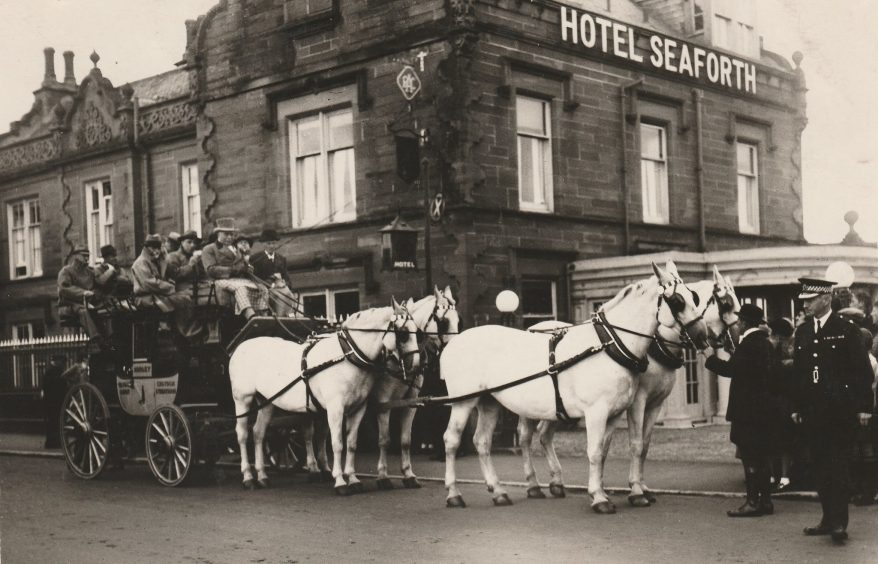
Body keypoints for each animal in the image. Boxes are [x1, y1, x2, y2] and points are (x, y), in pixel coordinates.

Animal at [227, 300, 420, 494]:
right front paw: (340, 481)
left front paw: (353, 479)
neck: (347, 355)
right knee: (242, 435)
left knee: (258, 433)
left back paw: (262, 476)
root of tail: (240, 348)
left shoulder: (358, 408)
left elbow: (351, 443)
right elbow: (337, 444)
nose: (417, 366)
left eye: (417, 331)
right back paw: (248, 477)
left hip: (266, 402)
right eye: (403, 334)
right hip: (242, 399)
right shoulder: (335, 409)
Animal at [440, 262, 708, 512]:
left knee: (483, 442)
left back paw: (499, 492)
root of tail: (454, 341)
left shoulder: (614, 414)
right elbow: (597, 451)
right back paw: (454, 494)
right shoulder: (598, 411)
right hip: (465, 401)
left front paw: (609, 491)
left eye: (694, 296)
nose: (703, 336)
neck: (609, 345)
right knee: (452, 440)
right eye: (677, 301)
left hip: (489, 402)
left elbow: (605, 451)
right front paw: (600, 497)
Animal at [524, 266, 744, 504]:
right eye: (726, 304)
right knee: (526, 438)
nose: (735, 341)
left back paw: (556, 482)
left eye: (693, 298)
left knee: (544, 435)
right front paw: (635, 490)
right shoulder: (637, 401)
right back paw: (534, 485)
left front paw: (637, 486)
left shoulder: (654, 403)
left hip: (554, 406)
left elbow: (642, 445)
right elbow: (635, 443)